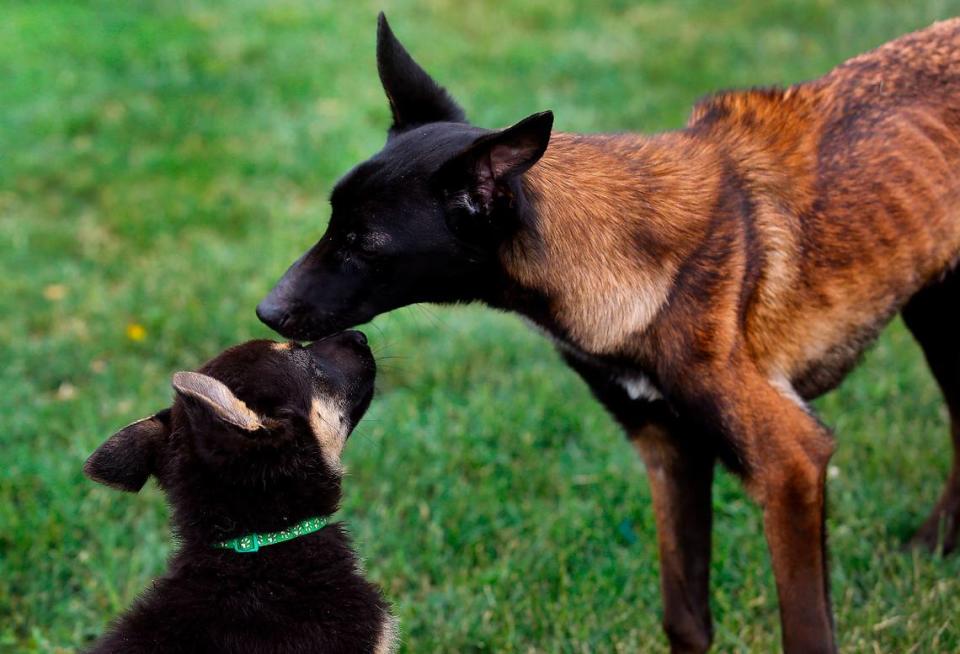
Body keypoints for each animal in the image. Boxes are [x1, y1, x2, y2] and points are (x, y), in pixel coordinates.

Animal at [256, 15, 960, 654]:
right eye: (332, 221)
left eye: (364, 243)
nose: (267, 310)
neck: (620, 253)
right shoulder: (669, 448)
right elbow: (686, 620)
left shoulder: (790, 463)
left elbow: (806, 633)